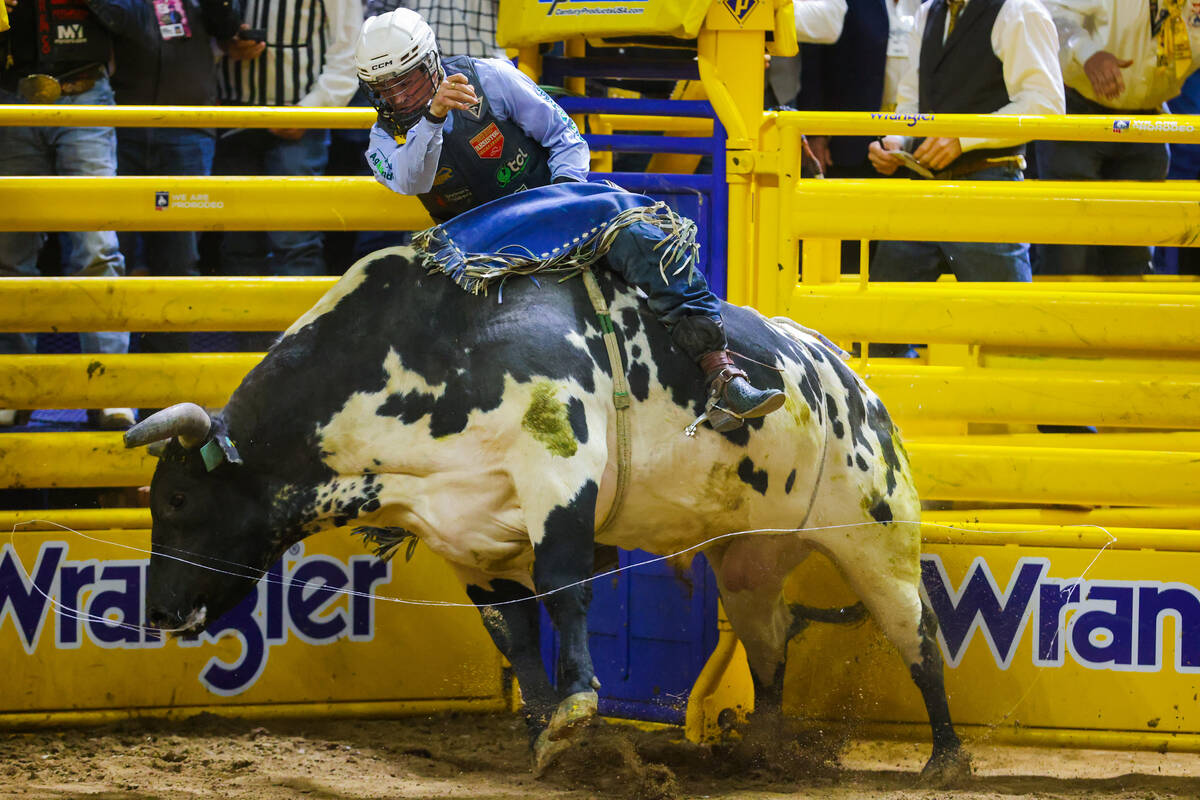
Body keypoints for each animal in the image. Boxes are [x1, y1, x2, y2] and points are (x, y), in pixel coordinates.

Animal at [126, 245, 969, 782]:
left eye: (179, 499)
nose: (158, 611)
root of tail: (847, 376)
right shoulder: (464, 533)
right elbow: (511, 629)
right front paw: (541, 725)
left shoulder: (558, 479)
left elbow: (566, 591)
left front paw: (574, 713)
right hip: (749, 561)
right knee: (768, 649)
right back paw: (763, 751)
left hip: (874, 534)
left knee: (918, 633)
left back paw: (945, 758)